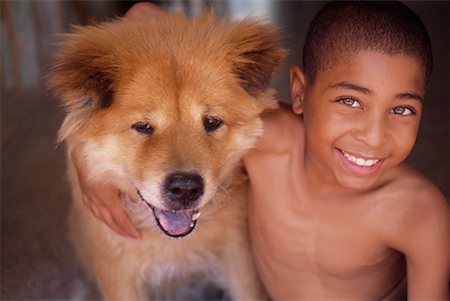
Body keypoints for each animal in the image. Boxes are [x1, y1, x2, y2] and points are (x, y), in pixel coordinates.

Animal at [48, 11, 284, 298]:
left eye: (212, 122)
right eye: (143, 126)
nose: (185, 189)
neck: (174, 243)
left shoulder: (240, 262)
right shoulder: (120, 276)